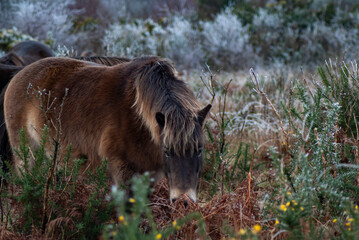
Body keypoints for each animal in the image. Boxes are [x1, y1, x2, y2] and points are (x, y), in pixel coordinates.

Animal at [4, 55, 211, 202]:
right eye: (167, 151)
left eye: (199, 150)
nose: (183, 199)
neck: (139, 118)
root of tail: (20, 74)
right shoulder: (122, 171)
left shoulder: (150, 175)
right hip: (26, 156)